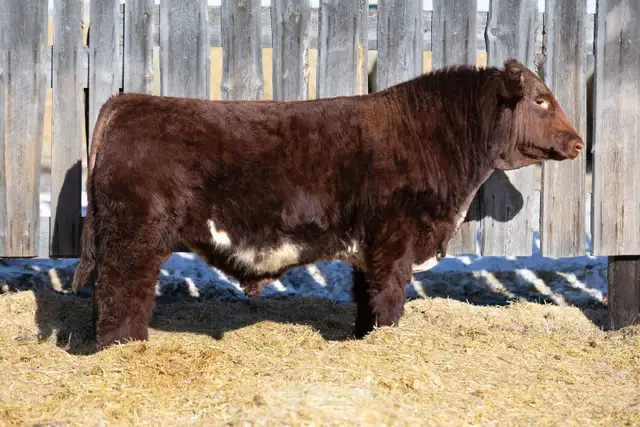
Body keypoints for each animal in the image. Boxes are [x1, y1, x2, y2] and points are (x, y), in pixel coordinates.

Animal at [72, 58, 584, 350]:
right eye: (541, 99)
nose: (578, 141)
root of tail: (129, 101)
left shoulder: (369, 247)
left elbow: (366, 298)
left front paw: (363, 339)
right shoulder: (395, 238)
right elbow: (389, 296)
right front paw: (385, 341)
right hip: (134, 235)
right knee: (121, 291)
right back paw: (124, 348)